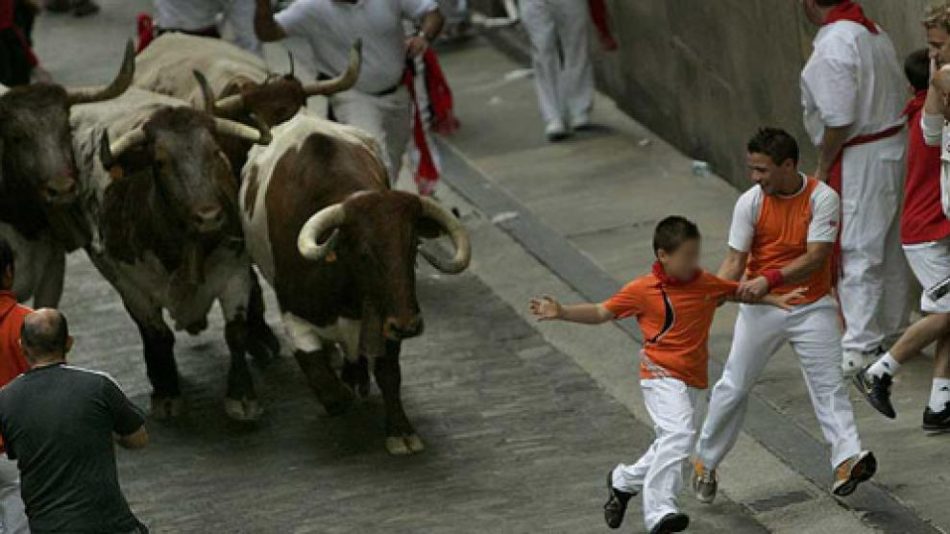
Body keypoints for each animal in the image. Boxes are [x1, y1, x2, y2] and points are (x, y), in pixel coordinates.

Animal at [69, 85, 272, 422]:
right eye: (160, 161)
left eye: (215, 152)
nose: (209, 217)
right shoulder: (132, 287)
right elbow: (157, 335)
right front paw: (166, 393)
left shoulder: (234, 272)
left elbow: (234, 332)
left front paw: (242, 396)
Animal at [242, 114, 472, 456]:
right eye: (363, 253)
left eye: (413, 246)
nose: (409, 324)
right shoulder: (295, 317)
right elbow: (325, 382)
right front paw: (342, 396)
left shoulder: (386, 317)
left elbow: (389, 375)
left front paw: (401, 430)